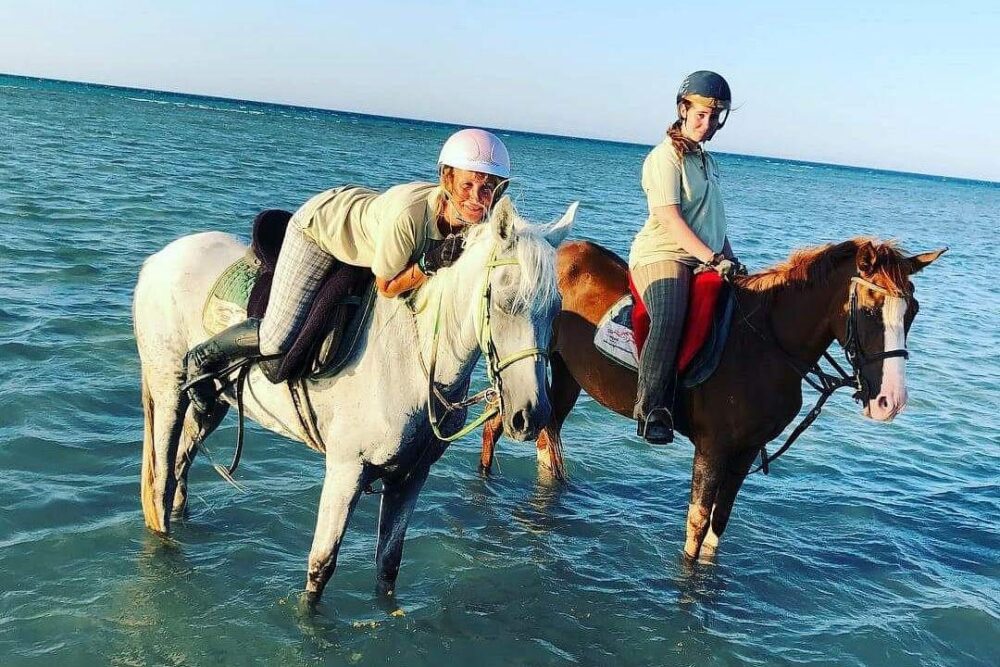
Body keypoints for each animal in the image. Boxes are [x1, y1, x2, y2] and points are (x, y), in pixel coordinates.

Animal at [133, 197, 577, 603]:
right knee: (161, 483)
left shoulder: (410, 477)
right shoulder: (346, 470)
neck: (412, 359)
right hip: (168, 392)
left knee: (181, 463)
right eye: (507, 302)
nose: (530, 416)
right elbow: (321, 566)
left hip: (216, 402)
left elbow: (388, 566)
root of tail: (158, 260)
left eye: (556, 309)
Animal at [480, 238, 946, 559]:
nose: (890, 401)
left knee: (546, 434)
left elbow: (719, 522)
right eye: (868, 309)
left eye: (913, 310)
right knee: (498, 422)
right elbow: (698, 521)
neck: (764, 344)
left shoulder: (746, 450)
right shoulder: (714, 447)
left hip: (565, 375)